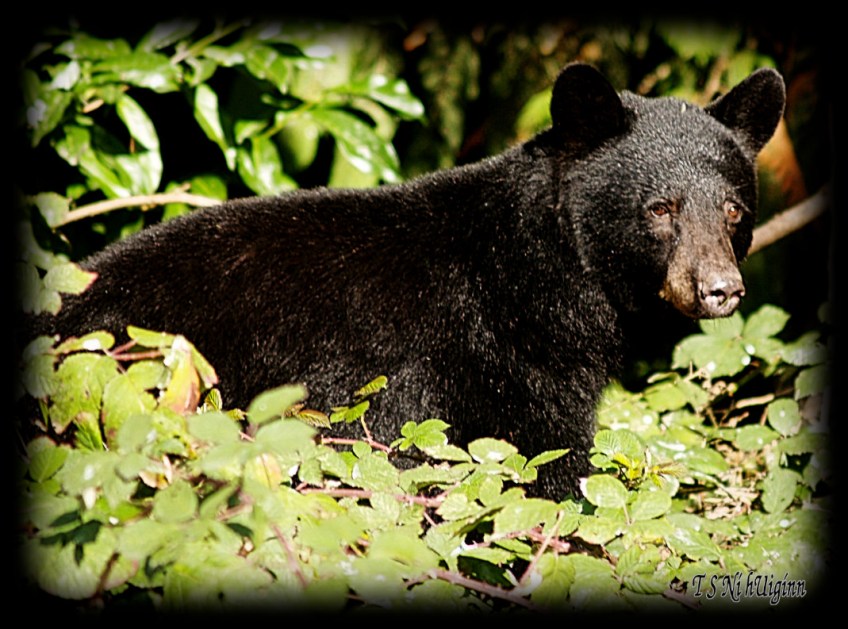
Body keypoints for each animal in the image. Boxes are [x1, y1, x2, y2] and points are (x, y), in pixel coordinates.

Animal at [34, 63, 786, 499]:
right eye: (660, 209)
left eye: (733, 209)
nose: (720, 287)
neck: (535, 277)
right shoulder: (477, 365)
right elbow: (539, 467)